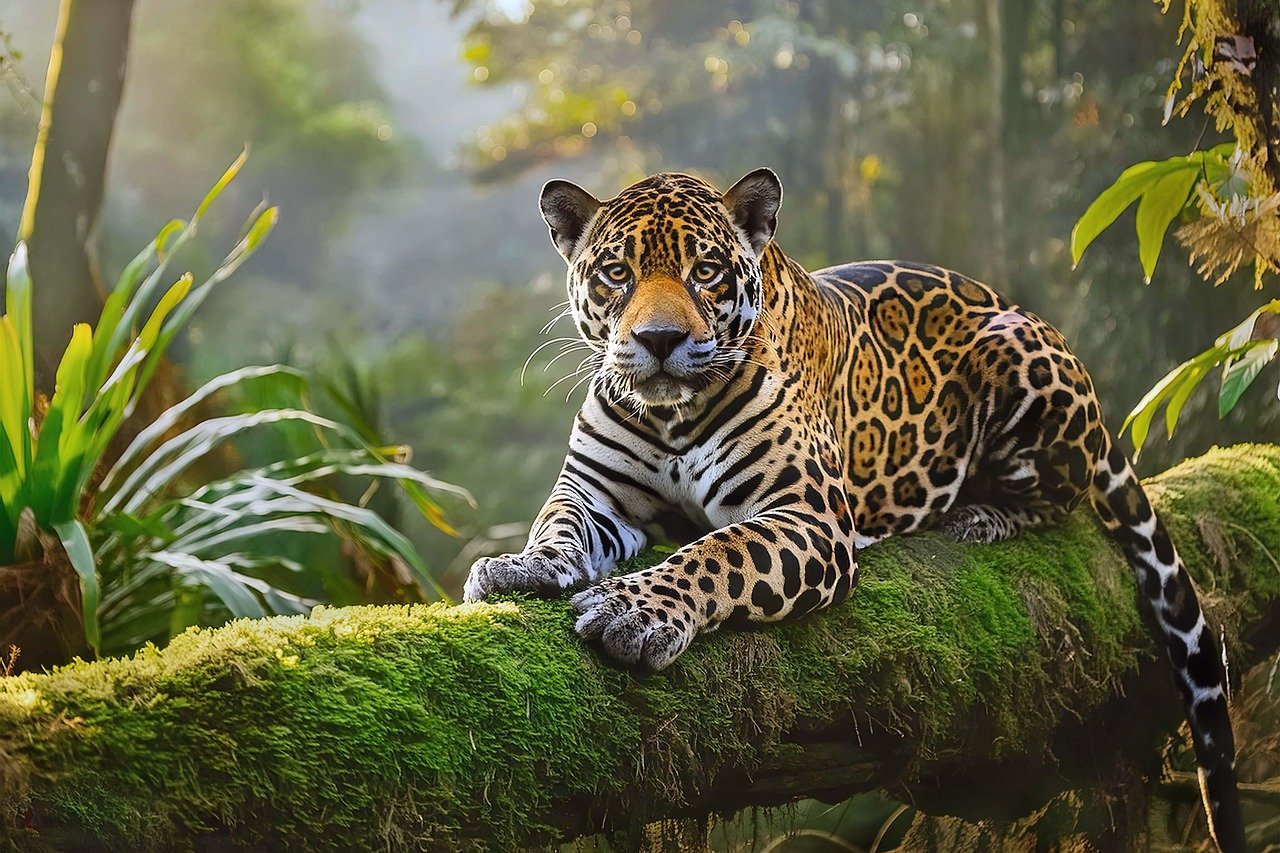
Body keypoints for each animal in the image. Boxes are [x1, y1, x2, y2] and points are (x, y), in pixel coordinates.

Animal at [461, 168, 1244, 851]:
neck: (674, 415)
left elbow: (716, 552)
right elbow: (560, 525)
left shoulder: (807, 517)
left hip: (1019, 359)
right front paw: (519, 566)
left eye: (706, 272)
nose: (658, 341)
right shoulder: (593, 491)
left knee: (1063, 494)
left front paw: (634, 609)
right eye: (616, 273)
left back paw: (980, 515)